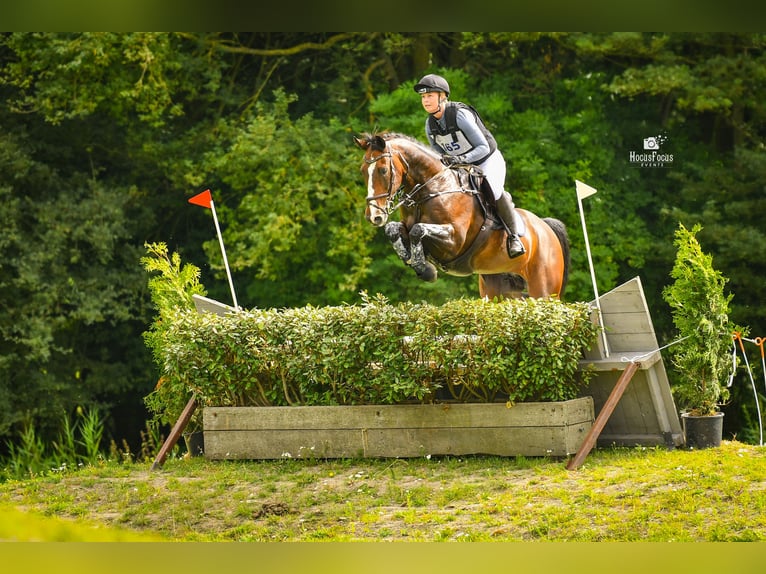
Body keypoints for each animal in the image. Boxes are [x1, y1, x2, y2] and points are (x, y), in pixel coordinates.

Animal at [356, 132, 568, 302]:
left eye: (383, 170)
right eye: (362, 172)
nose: (373, 216)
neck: (432, 189)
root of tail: (546, 228)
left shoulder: (454, 241)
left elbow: (418, 229)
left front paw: (425, 270)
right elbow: (393, 229)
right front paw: (412, 260)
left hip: (544, 291)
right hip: (499, 290)